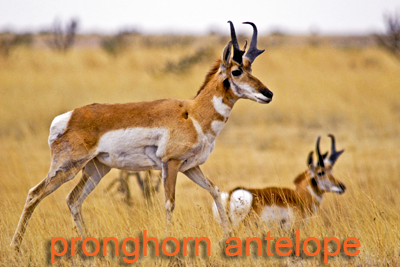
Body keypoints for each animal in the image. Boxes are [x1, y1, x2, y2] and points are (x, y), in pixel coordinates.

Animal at [10, 21, 274, 251]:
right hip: (67, 168)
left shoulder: (190, 167)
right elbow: (169, 203)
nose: (268, 93)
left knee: (73, 199)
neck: (193, 113)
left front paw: (228, 236)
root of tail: (68, 117)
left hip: (96, 169)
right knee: (35, 194)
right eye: (237, 71)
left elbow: (215, 190)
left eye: (251, 68)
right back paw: (16, 247)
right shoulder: (171, 164)